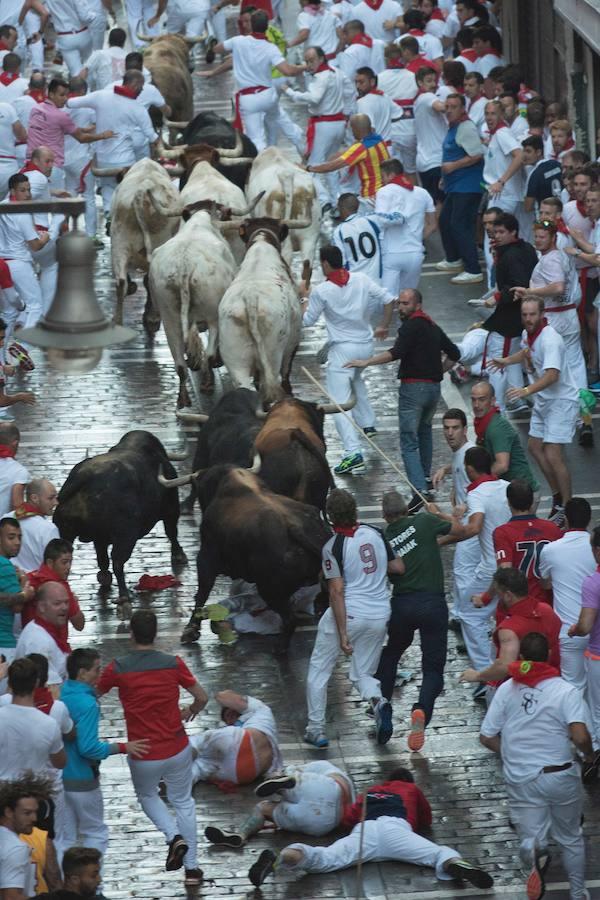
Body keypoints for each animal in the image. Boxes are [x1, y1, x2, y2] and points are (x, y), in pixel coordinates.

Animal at [56, 430, 189, 612]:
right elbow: (171, 531)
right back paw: (124, 596)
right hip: (126, 535)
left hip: (66, 531)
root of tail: (85, 476)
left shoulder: (99, 537)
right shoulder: (171, 507)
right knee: (118, 561)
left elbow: (102, 557)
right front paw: (179, 555)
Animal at [98, 160, 180, 328]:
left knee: (121, 282)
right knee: (149, 279)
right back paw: (153, 316)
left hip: (119, 243)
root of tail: (141, 190)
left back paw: (117, 320)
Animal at [148, 207, 237, 408]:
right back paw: (207, 383)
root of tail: (185, 265)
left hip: (169, 316)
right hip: (213, 314)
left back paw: (183, 398)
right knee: (209, 353)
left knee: (179, 362)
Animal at [177, 464, 332, 648]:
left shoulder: (206, 557)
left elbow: (203, 591)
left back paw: (279, 649)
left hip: (270, 590)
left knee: (289, 620)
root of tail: (295, 526)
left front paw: (191, 630)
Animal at [217, 216, 310, 402]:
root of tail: (250, 297)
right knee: (274, 384)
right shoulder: (291, 347)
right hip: (273, 354)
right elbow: (286, 375)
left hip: (236, 359)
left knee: (246, 387)